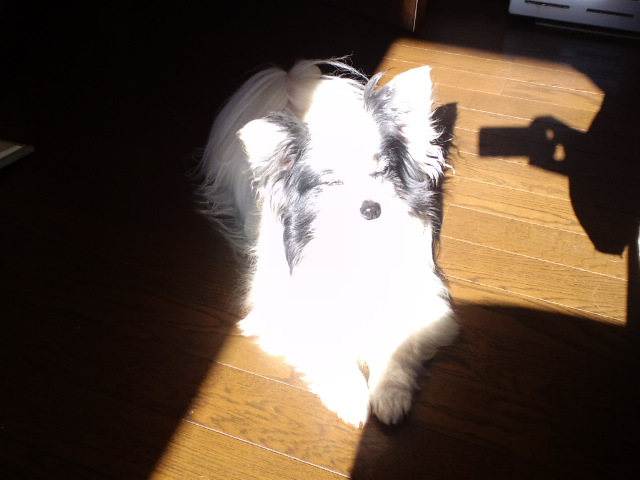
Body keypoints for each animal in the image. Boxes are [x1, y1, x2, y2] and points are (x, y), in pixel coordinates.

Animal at [193, 59, 458, 427]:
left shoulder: (422, 303)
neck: (356, 242)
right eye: (332, 183)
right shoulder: (286, 311)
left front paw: (390, 396)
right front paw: (351, 398)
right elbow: (328, 349)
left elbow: (395, 345)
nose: (371, 208)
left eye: (382, 172)